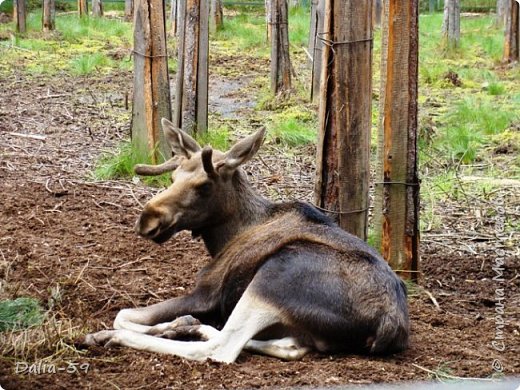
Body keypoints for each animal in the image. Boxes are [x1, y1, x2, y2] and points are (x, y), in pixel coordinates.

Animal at [86, 119, 410, 362]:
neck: (225, 236)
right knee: (289, 346)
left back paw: (117, 336)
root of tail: (388, 324)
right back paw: (194, 328)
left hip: (274, 275)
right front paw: (181, 323)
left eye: (204, 186)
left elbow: (122, 314)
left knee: (221, 348)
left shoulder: (207, 293)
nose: (147, 220)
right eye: (173, 177)